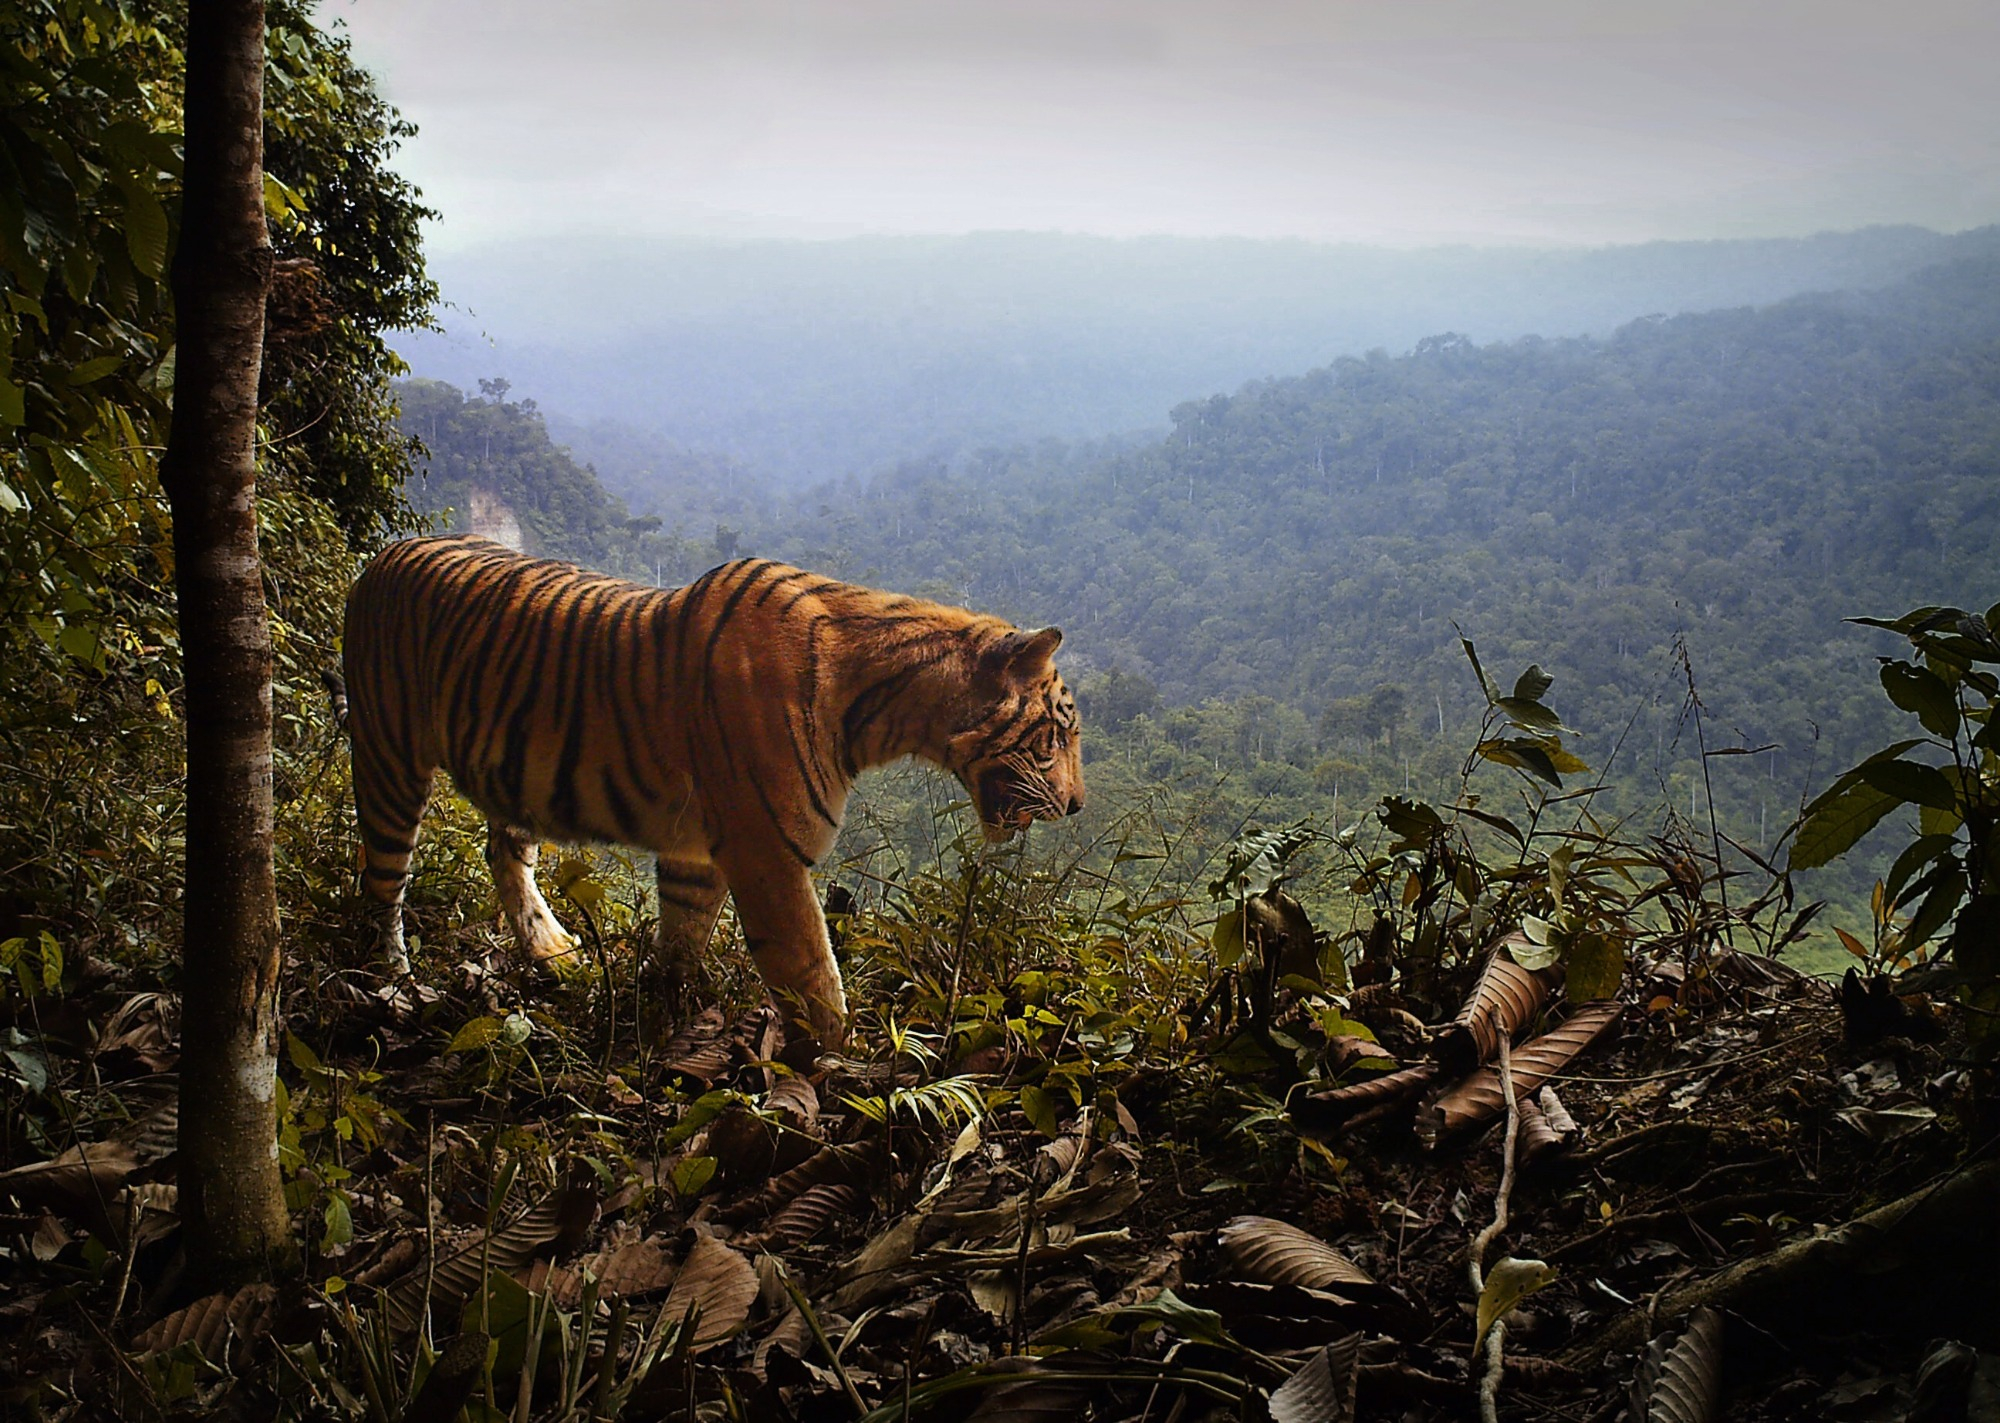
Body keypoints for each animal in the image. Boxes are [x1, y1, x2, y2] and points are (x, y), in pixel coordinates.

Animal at [348, 535, 1096, 1047]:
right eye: (1058, 733)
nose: (1079, 805)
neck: (886, 709)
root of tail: (387, 552)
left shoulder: (697, 851)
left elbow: (682, 937)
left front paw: (665, 1017)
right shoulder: (766, 853)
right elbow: (812, 974)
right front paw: (843, 1072)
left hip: (512, 779)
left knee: (501, 851)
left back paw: (553, 951)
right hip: (388, 762)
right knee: (380, 885)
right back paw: (392, 985)